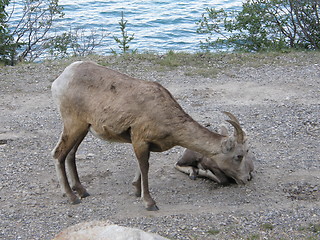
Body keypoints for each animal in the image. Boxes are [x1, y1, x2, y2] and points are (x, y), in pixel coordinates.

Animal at [52, 61, 252, 211]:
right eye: (238, 156)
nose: (247, 179)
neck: (165, 115)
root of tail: (60, 80)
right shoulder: (140, 139)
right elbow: (145, 167)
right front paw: (149, 203)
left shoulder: (142, 143)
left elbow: (141, 167)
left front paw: (136, 190)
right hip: (73, 124)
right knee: (58, 154)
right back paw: (72, 197)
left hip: (83, 128)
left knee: (70, 154)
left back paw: (82, 191)